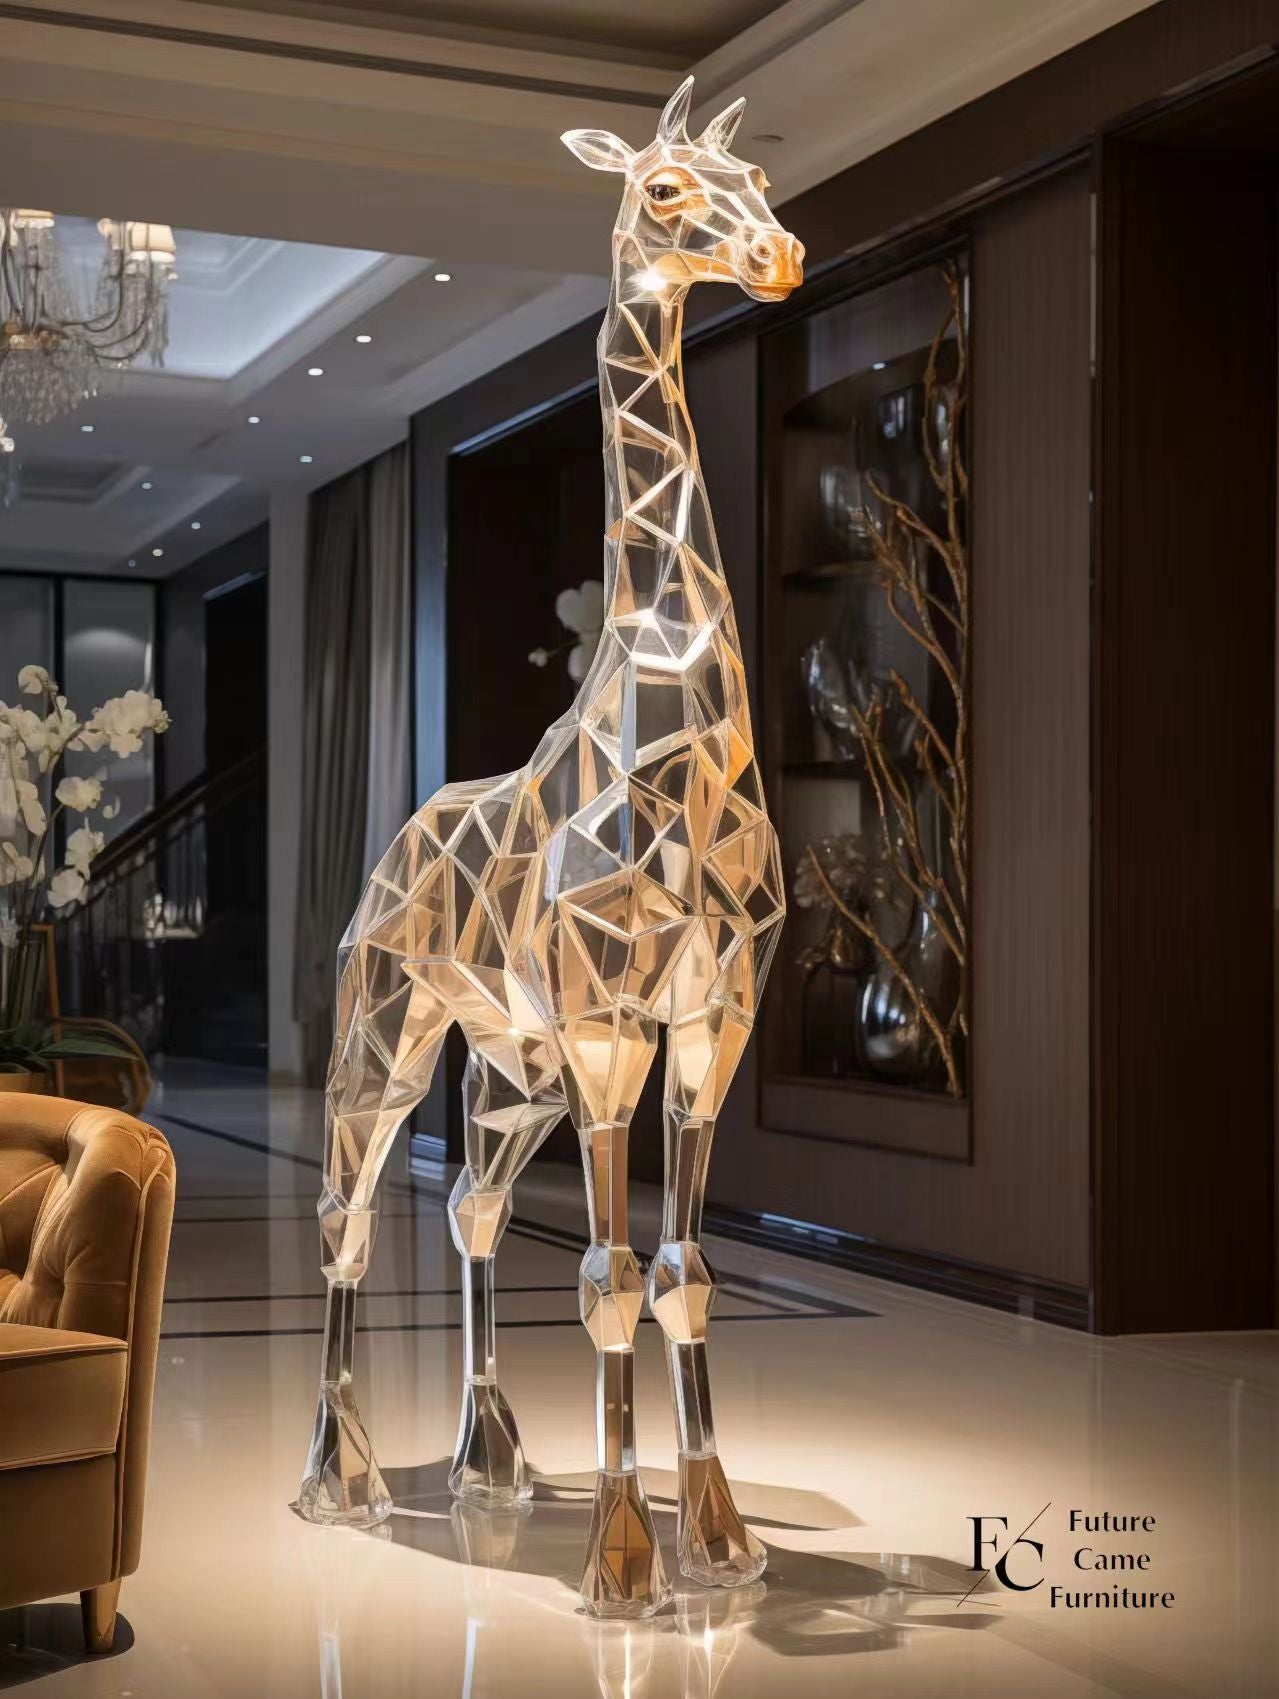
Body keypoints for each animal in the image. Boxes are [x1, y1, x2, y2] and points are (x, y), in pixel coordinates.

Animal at [296, 75, 803, 1619]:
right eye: (661, 193)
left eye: (762, 179)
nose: (778, 259)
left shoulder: (711, 1017)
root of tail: (398, 835)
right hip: (388, 1032)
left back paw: (487, 1461)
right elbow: (606, 1267)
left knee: (463, 1204)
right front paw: (625, 1561)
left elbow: (685, 1263)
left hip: (504, 1068)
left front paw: (722, 1542)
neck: (680, 732)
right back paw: (337, 1476)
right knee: (345, 1205)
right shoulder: (605, 1020)